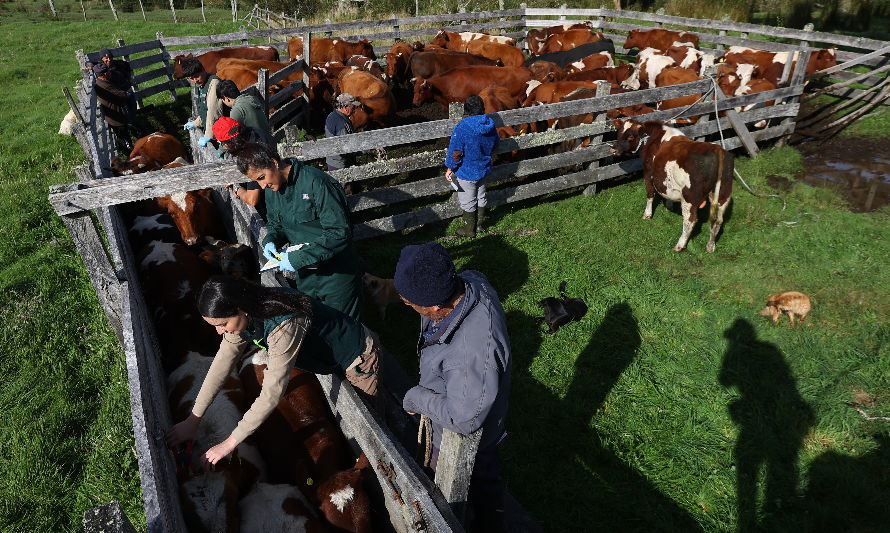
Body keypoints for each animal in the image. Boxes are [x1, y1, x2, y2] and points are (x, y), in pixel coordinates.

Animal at [612, 120, 732, 254]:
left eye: (630, 137)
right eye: (619, 133)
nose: (613, 149)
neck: (653, 138)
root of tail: (717, 149)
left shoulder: (648, 174)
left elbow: (650, 195)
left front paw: (647, 215)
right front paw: (669, 206)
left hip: (689, 198)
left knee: (690, 220)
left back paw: (679, 245)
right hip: (723, 195)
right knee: (718, 221)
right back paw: (710, 246)